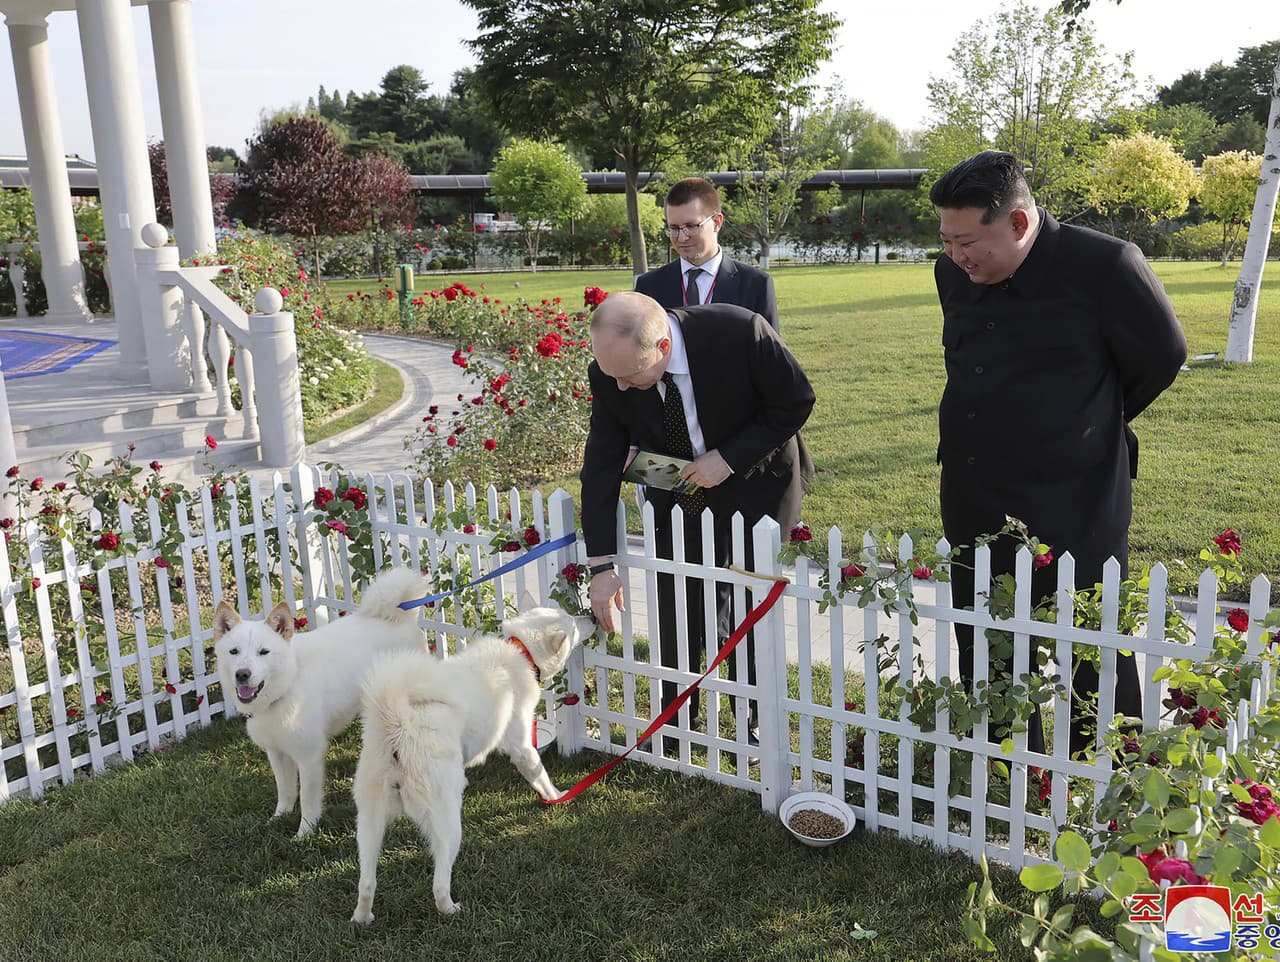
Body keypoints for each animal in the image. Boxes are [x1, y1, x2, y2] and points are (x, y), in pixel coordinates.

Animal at [211, 567, 430, 839]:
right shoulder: (277, 753)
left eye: (263, 652)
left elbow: (307, 800)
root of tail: (399, 616)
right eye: (234, 652)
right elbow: (285, 791)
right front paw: (278, 818)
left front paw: (304, 833)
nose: (242, 674)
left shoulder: (309, 757)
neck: (288, 683)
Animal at [350, 593, 588, 926]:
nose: (591, 617)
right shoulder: (521, 745)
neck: (520, 648)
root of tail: (397, 723)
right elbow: (539, 774)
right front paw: (556, 796)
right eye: (573, 625)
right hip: (448, 823)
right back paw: (450, 909)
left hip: (369, 822)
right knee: (438, 882)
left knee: (366, 881)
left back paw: (363, 917)